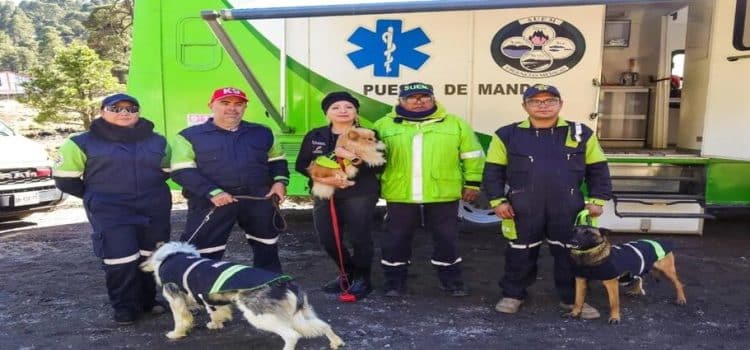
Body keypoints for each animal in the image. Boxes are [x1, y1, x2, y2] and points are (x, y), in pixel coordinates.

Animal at [141, 242, 346, 350]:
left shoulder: (175, 299)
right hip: (298, 316)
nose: (141, 266)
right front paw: (215, 324)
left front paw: (176, 334)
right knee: (323, 325)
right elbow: (216, 312)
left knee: (292, 335)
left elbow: (180, 320)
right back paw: (336, 342)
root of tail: (287, 283)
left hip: (259, 316)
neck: (173, 255)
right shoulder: (212, 298)